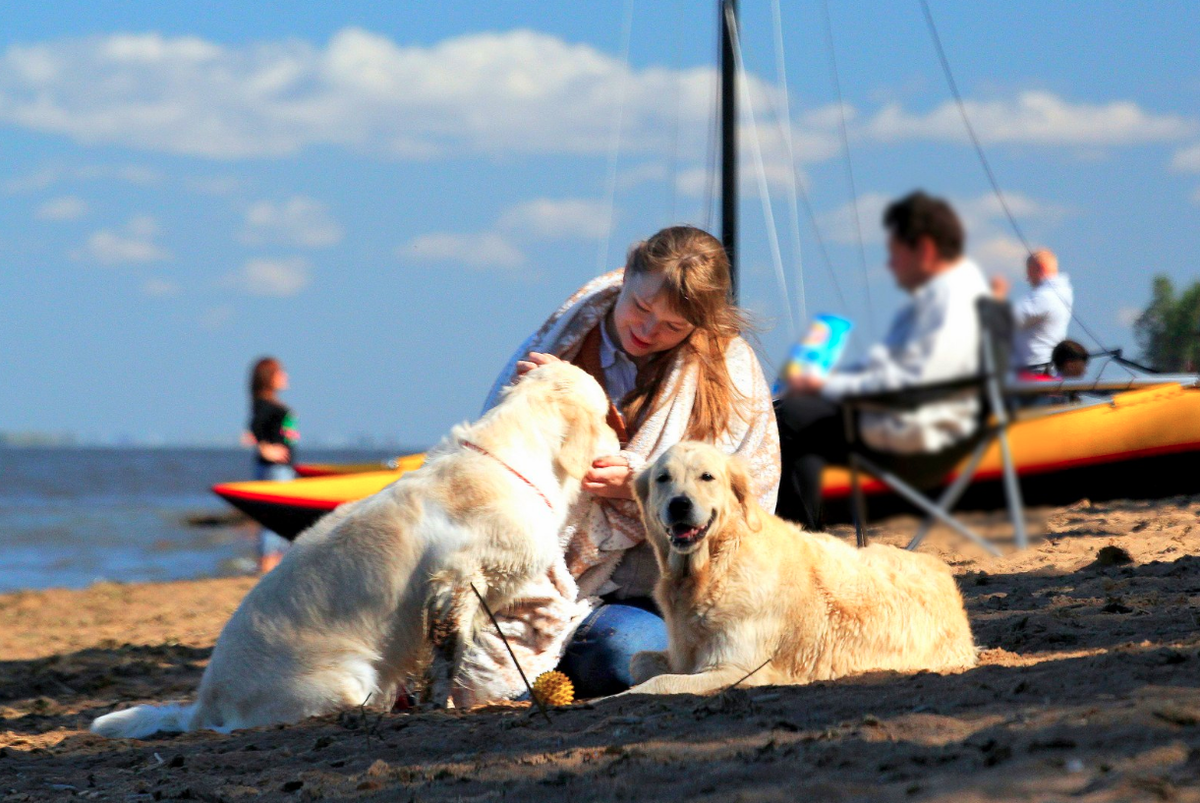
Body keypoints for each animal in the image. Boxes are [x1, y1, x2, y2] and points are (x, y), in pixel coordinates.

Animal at [91, 360, 619, 734]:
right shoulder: (455, 583)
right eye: (609, 414)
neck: (510, 462)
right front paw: (438, 706)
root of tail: (205, 703)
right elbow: (447, 658)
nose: (620, 442)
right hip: (351, 672)